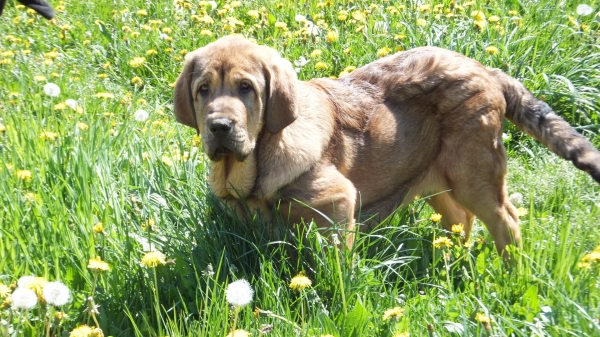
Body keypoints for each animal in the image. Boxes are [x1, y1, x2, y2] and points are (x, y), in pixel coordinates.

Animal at [172, 36, 600, 258]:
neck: (256, 166)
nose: (220, 126)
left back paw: (510, 271)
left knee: (506, 220)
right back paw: (448, 260)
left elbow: (333, 265)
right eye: (203, 90)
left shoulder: (338, 205)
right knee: (460, 219)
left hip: (473, 174)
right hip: (435, 179)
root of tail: (485, 69)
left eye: (246, 88)